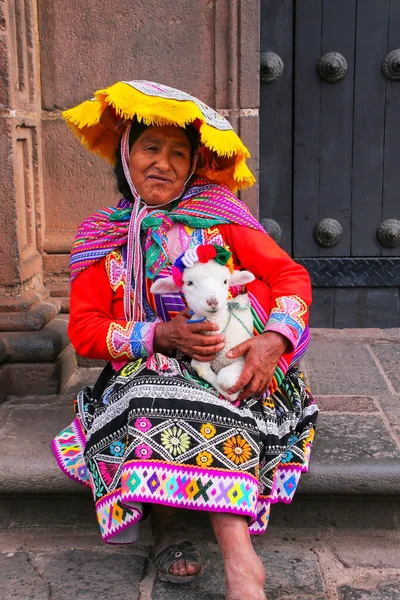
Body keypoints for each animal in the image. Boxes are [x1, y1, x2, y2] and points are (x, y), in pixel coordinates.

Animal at [152, 244, 255, 404]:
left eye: (225, 281)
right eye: (189, 283)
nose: (212, 301)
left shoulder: (242, 359)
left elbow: (225, 379)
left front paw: (234, 393)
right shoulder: (203, 356)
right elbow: (200, 367)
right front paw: (228, 393)